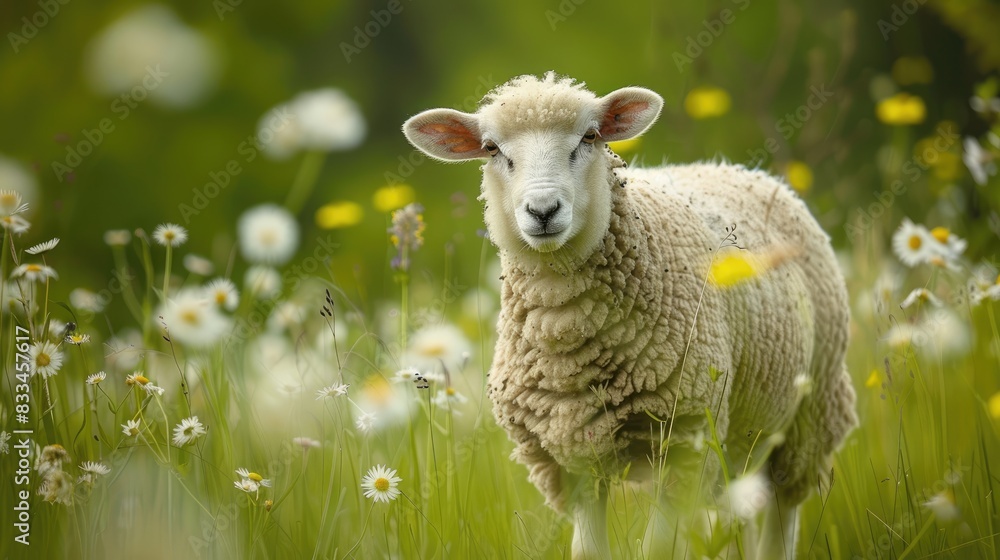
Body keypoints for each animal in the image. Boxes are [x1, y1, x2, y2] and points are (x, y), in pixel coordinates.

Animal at [403, 72, 858, 559]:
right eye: (491, 148)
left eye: (589, 136)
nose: (543, 211)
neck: (566, 333)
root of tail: (735, 169)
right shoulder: (570, 457)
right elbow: (588, 550)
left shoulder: (682, 443)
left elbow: (655, 547)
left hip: (810, 412)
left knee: (780, 517)